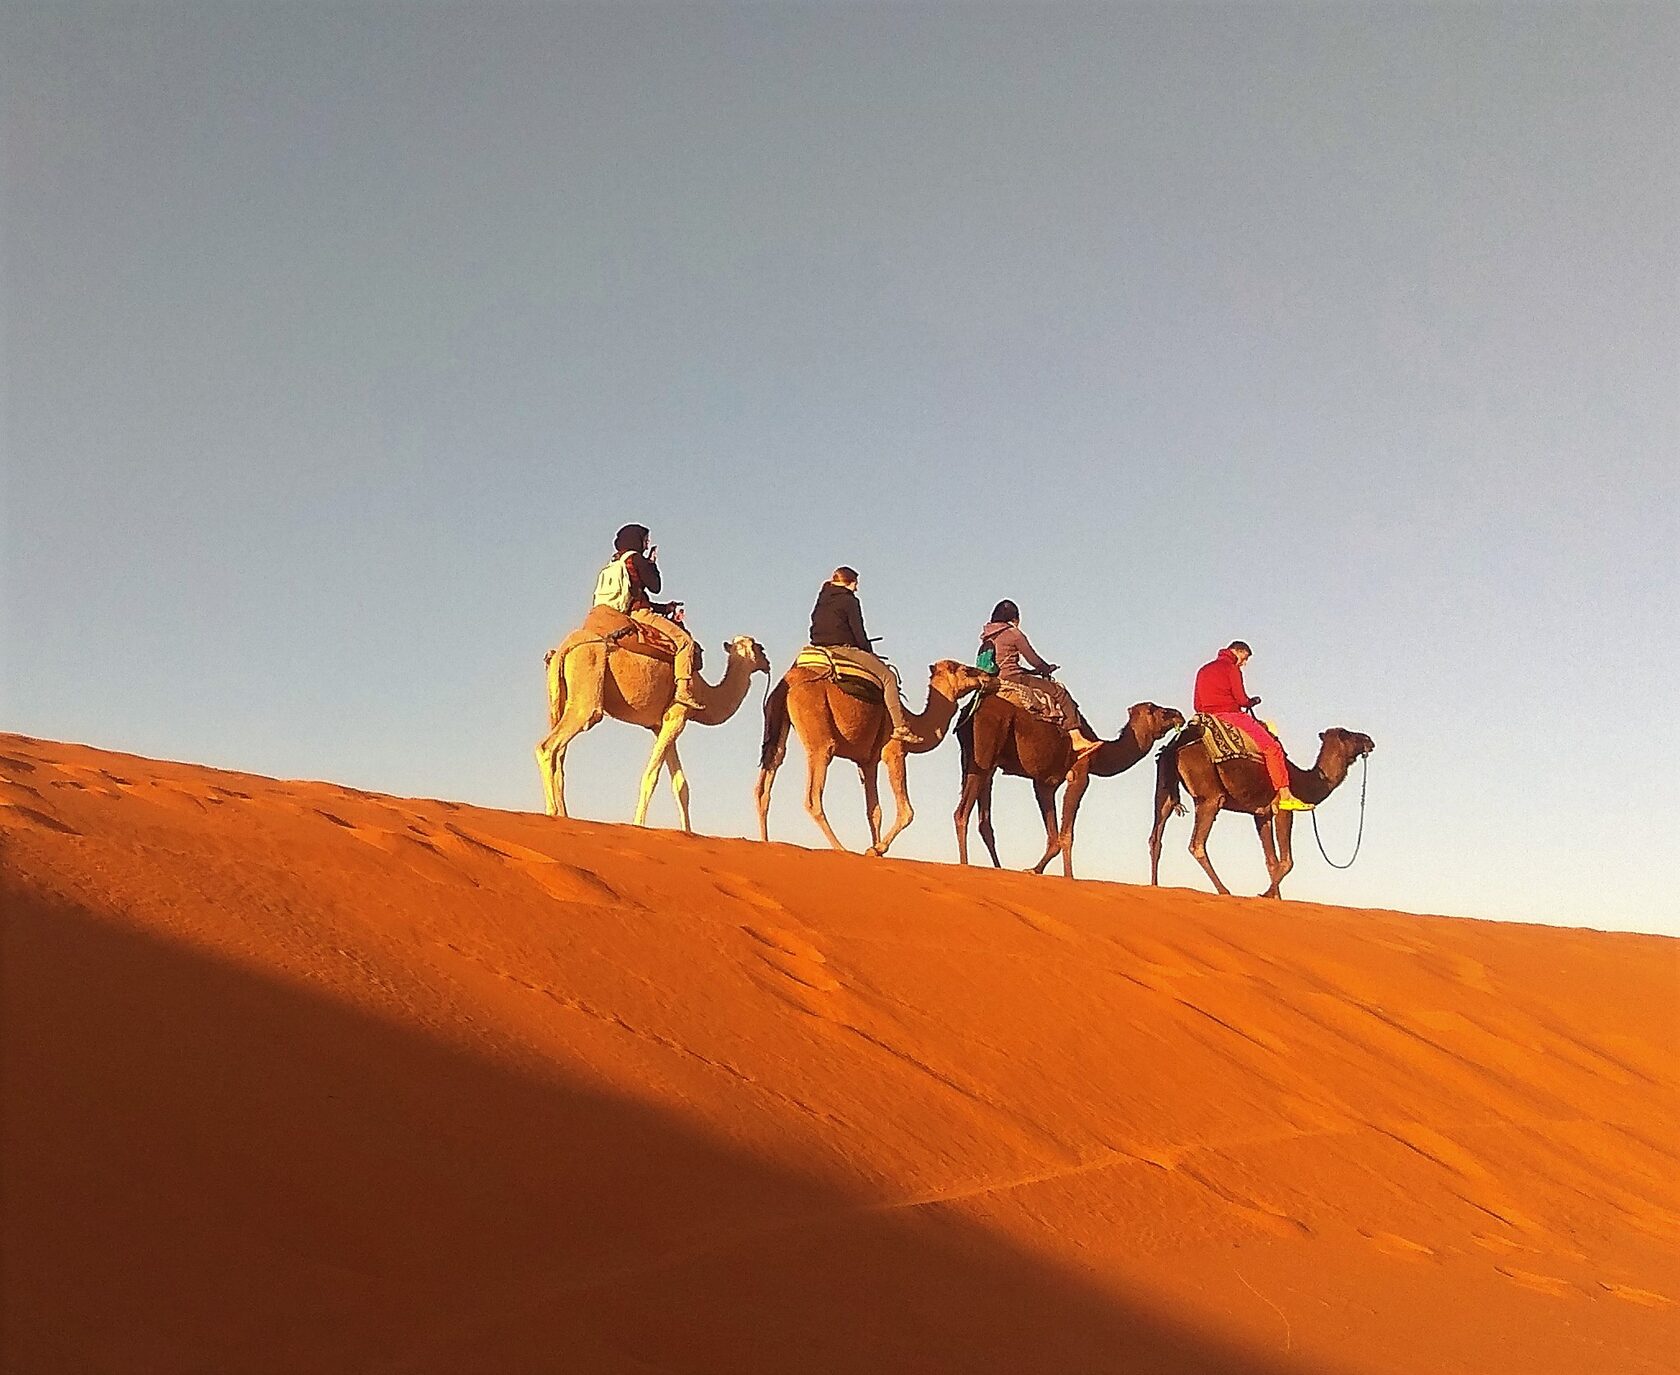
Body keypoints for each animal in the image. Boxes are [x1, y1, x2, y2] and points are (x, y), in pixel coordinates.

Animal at [534, 628, 769, 823]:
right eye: (759, 647)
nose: (767, 662)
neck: (705, 694)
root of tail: (564, 648)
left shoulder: (660, 725)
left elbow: (681, 786)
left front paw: (687, 832)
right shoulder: (677, 715)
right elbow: (651, 776)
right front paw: (638, 824)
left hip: (559, 700)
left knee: (559, 757)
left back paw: (563, 814)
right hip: (586, 690)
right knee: (548, 746)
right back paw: (552, 811)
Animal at [756, 655, 987, 857]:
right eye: (966, 670)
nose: (988, 676)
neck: (915, 723)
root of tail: (787, 683)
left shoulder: (868, 762)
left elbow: (874, 812)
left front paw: (876, 850)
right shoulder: (894, 751)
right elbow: (906, 811)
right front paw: (876, 849)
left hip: (776, 723)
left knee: (767, 777)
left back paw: (765, 841)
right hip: (819, 738)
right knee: (813, 797)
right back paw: (841, 849)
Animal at [960, 695, 1182, 880]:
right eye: (1158, 710)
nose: (1178, 715)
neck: (1099, 752)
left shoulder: (1045, 782)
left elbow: (1054, 837)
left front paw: (1034, 869)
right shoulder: (1080, 773)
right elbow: (1067, 834)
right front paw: (1069, 877)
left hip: (975, 758)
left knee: (982, 818)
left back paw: (993, 867)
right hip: (986, 747)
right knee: (962, 812)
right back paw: (964, 864)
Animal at [1149, 719, 1370, 900]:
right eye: (1348, 734)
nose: (1369, 740)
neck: (1303, 781)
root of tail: (1175, 746)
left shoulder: (1261, 813)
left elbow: (1271, 861)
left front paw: (1275, 898)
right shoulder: (1282, 809)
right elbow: (1287, 861)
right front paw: (1265, 894)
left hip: (1164, 786)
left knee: (1156, 836)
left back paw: (1154, 885)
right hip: (1210, 796)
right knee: (1197, 844)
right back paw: (1224, 891)